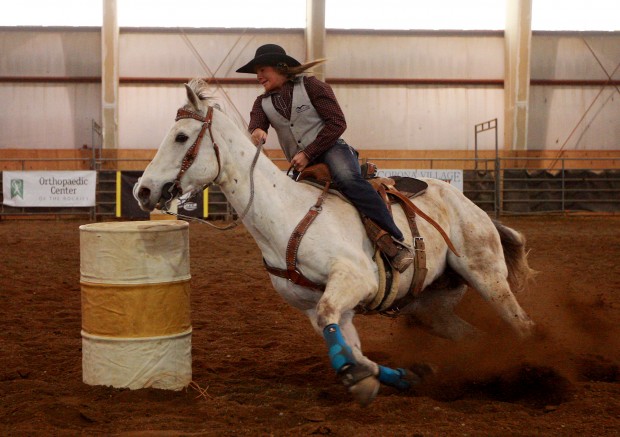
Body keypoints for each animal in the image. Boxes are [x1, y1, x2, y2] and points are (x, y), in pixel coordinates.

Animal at [138, 79, 536, 406]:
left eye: (181, 137)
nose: (142, 190)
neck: (288, 214)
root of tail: (472, 207)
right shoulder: (317, 308)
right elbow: (349, 347)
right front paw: (391, 376)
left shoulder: (354, 280)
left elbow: (342, 334)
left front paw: (366, 376)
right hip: (431, 308)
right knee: (474, 338)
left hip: (487, 277)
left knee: (522, 327)